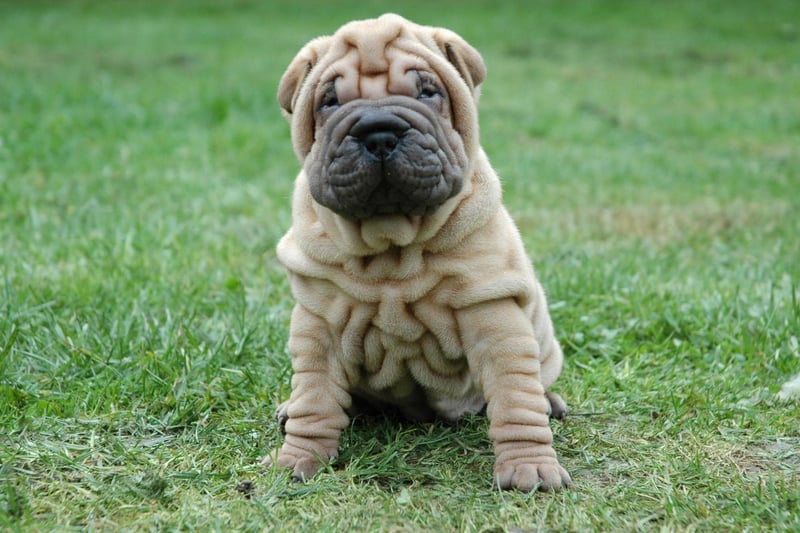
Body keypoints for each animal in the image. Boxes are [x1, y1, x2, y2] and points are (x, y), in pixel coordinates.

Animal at [266, 12, 572, 492]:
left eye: (428, 93)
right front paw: (298, 458)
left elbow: (515, 400)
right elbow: (315, 399)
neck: (393, 247)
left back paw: (551, 402)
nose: (378, 132)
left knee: (536, 385)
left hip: (546, 346)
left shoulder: (494, 315)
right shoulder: (319, 325)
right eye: (329, 102)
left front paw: (530, 468)